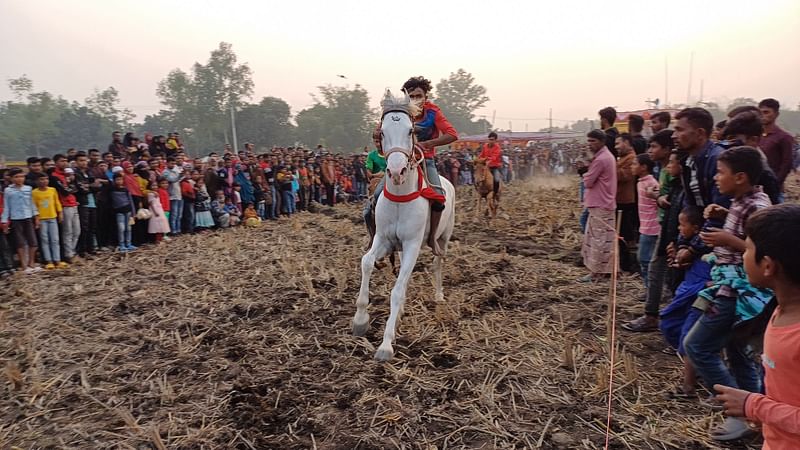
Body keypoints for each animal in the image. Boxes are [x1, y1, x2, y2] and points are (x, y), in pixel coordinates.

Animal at [352, 91, 456, 362]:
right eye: (382, 131)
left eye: (411, 131)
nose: (396, 171)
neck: (400, 195)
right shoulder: (384, 240)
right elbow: (367, 262)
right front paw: (360, 320)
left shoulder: (412, 244)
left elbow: (397, 290)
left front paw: (386, 345)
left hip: (443, 238)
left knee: (437, 263)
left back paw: (439, 295)